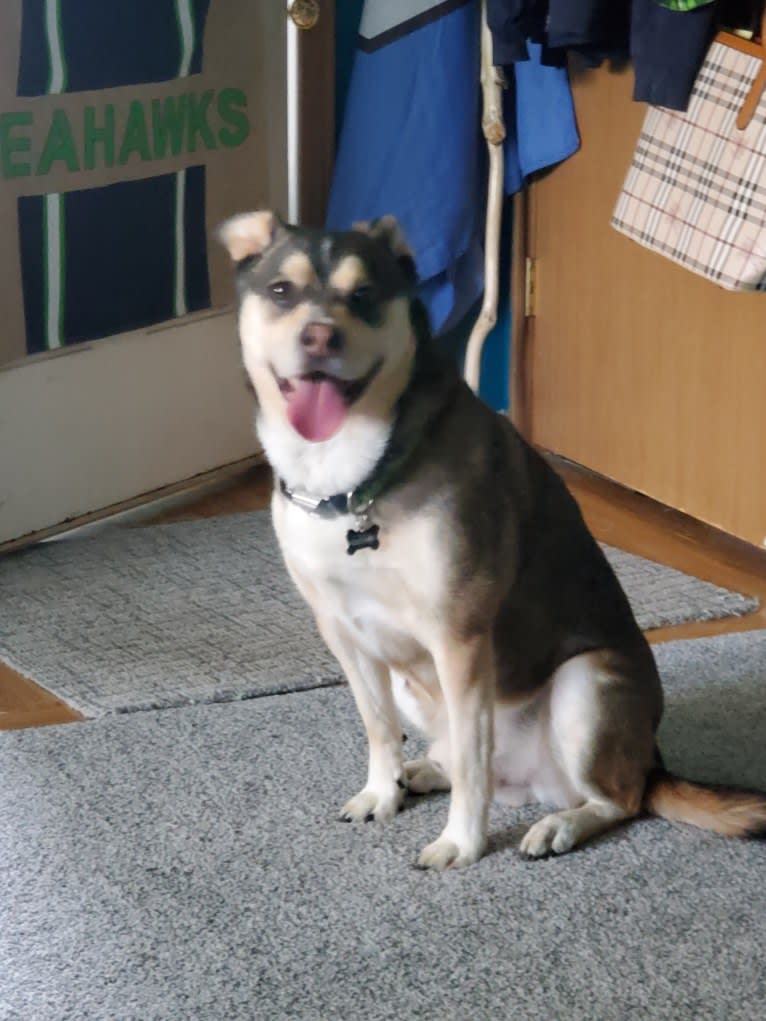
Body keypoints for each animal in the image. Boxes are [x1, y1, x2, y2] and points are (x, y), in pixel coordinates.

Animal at [217, 213, 766, 869]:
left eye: (365, 295)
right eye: (281, 291)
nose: (320, 337)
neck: (351, 482)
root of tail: (651, 758)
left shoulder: (459, 638)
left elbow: (473, 763)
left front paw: (461, 843)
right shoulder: (344, 633)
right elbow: (378, 727)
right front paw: (381, 792)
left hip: (586, 686)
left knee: (617, 797)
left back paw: (558, 824)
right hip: (412, 680)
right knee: (466, 759)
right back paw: (421, 771)